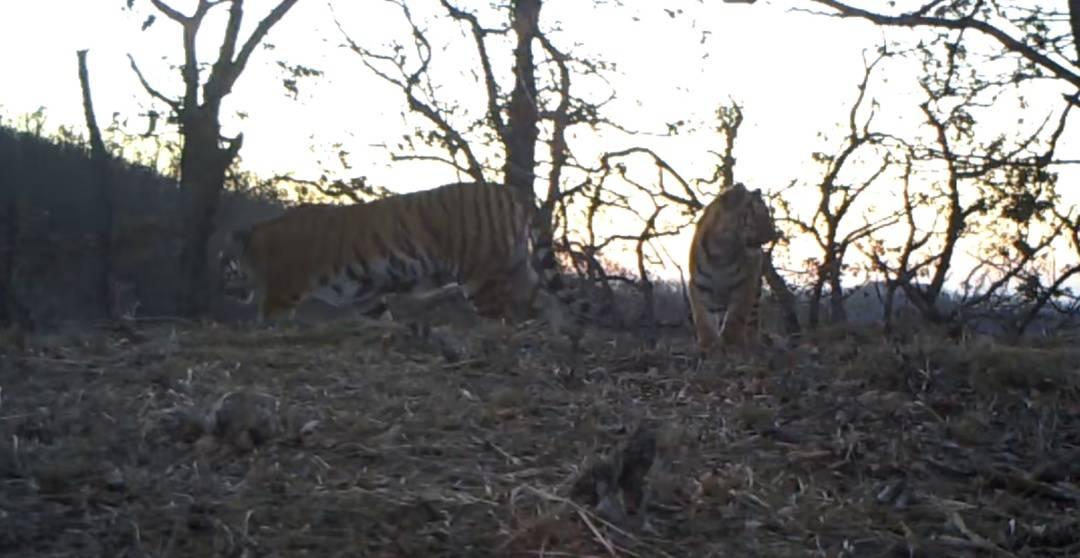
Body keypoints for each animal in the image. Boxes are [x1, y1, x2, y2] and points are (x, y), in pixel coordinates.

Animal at [218, 181, 587, 338]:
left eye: (224, 262)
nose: (220, 283)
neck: (257, 245)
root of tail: (509, 189)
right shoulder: (365, 295)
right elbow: (383, 316)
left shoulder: (282, 293)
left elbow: (266, 318)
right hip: (513, 265)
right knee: (542, 296)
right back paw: (558, 329)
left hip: (481, 274)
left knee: (501, 316)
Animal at [686, 182, 781, 356]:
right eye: (756, 214)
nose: (773, 235)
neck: (721, 252)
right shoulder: (698, 285)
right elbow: (703, 319)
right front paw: (708, 346)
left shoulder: (746, 285)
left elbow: (736, 318)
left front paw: (733, 345)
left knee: (752, 322)